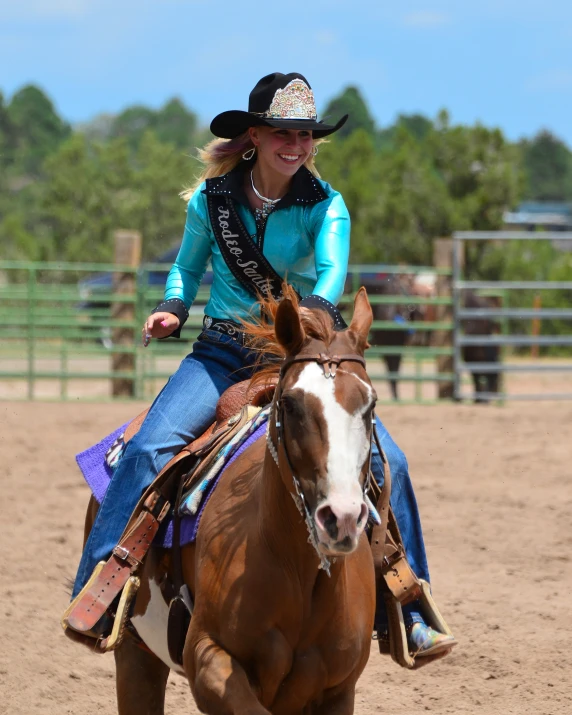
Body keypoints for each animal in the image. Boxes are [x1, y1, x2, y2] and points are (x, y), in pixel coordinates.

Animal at [85, 286, 378, 715]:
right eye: (289, 404)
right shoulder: (207, 658)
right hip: (136, 653)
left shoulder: (339, 690)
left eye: (370, 405)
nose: (340, 517)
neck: (295, 567)